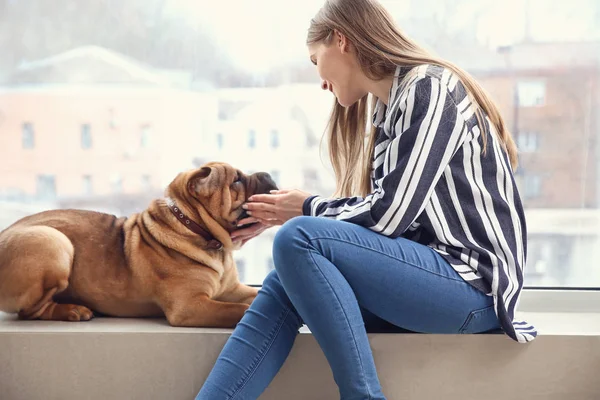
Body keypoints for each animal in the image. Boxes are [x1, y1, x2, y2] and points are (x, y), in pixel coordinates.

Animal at [0, 162, 278, 328]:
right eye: (237, 181)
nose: (268, 173)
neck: (196, 229)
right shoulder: (190, 305)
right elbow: (236, 309)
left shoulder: (233, 289)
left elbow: (252, 296)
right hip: (54, 243)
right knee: (30, 312)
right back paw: (73, 310)